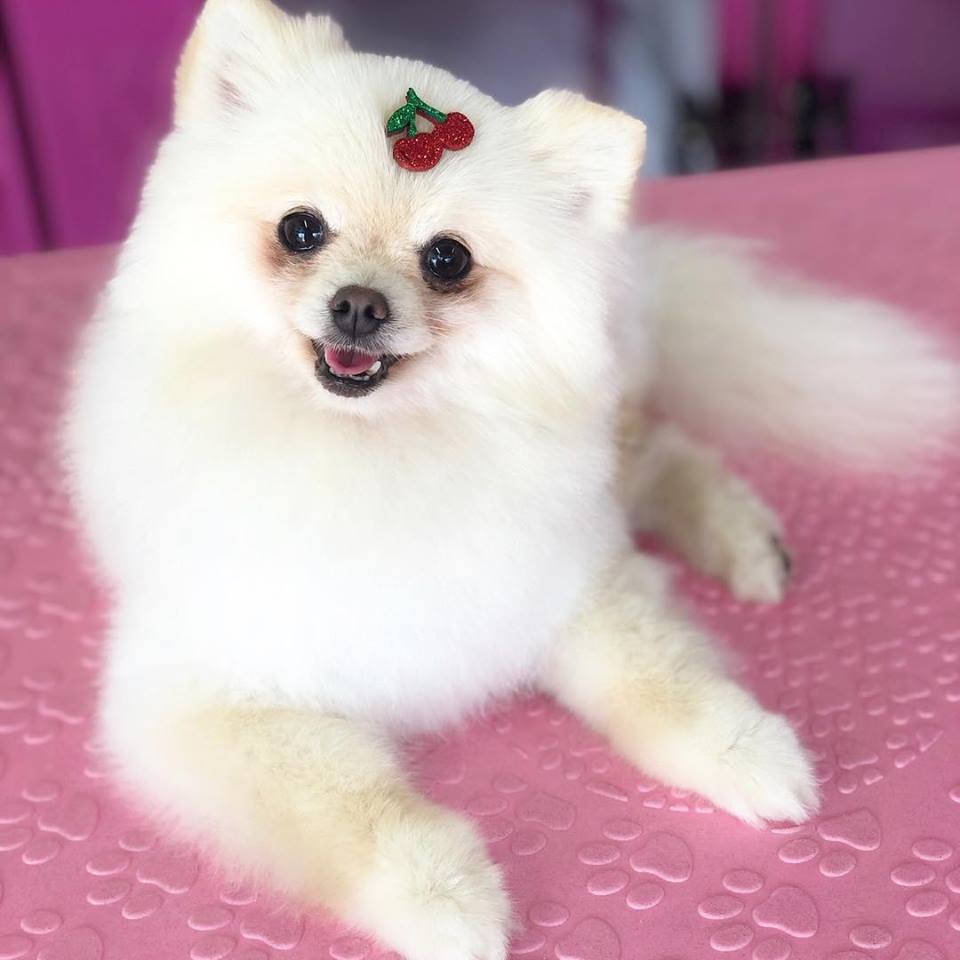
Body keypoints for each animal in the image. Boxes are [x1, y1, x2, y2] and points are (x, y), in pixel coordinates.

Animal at [64, 1, 960, 957]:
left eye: (447, 259)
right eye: (301, 229)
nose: (358, 306)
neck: (378, 450)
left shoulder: (568, 582)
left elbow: (662, 677)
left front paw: (746, 747)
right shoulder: (208, 701)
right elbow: (352, 805)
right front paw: (445, 896)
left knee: (656, 450)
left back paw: (745, 543)